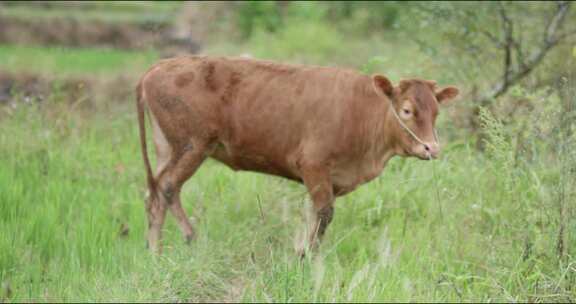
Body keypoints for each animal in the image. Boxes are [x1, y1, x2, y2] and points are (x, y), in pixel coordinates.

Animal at [135, 55, 460, 254]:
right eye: (406, 110)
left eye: (436, 111)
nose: (431, 147)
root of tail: (158, 67)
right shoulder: (313, 165)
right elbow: (324, 214)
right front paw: (309, 256)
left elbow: (313, 214)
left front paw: (303, 250)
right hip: (192, 145)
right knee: (167, 186)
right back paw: (189, 237)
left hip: (167, 148)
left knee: (154, 194)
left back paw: (155, 252)